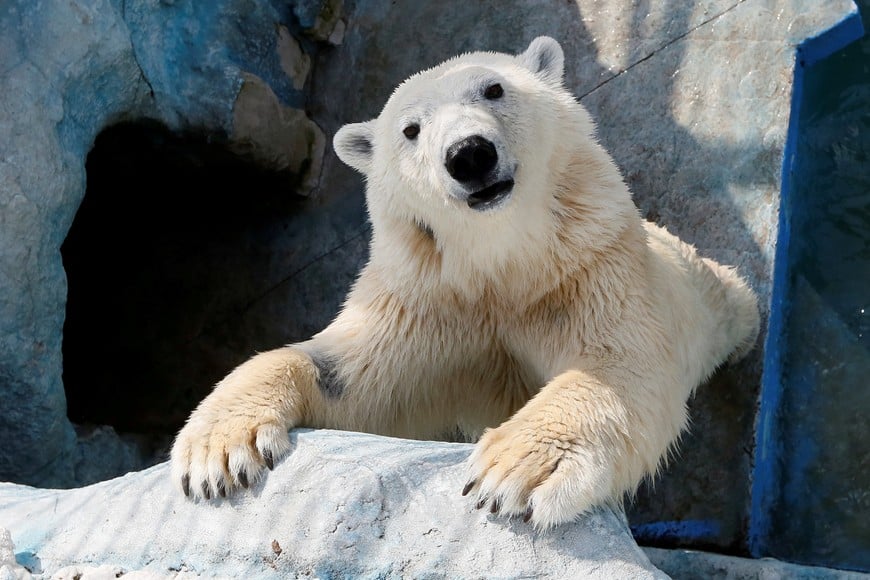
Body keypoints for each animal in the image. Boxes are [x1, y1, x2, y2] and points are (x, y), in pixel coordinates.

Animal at [170, 36, 759, 528]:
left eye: (493, 88)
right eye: (410, 130)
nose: (469, 154)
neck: (503, 263)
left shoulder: (590, 269)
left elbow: (619, 362)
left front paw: (513, 472)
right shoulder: (428, 304)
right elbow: (349, 373)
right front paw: (217, 453)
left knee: (728, 302)